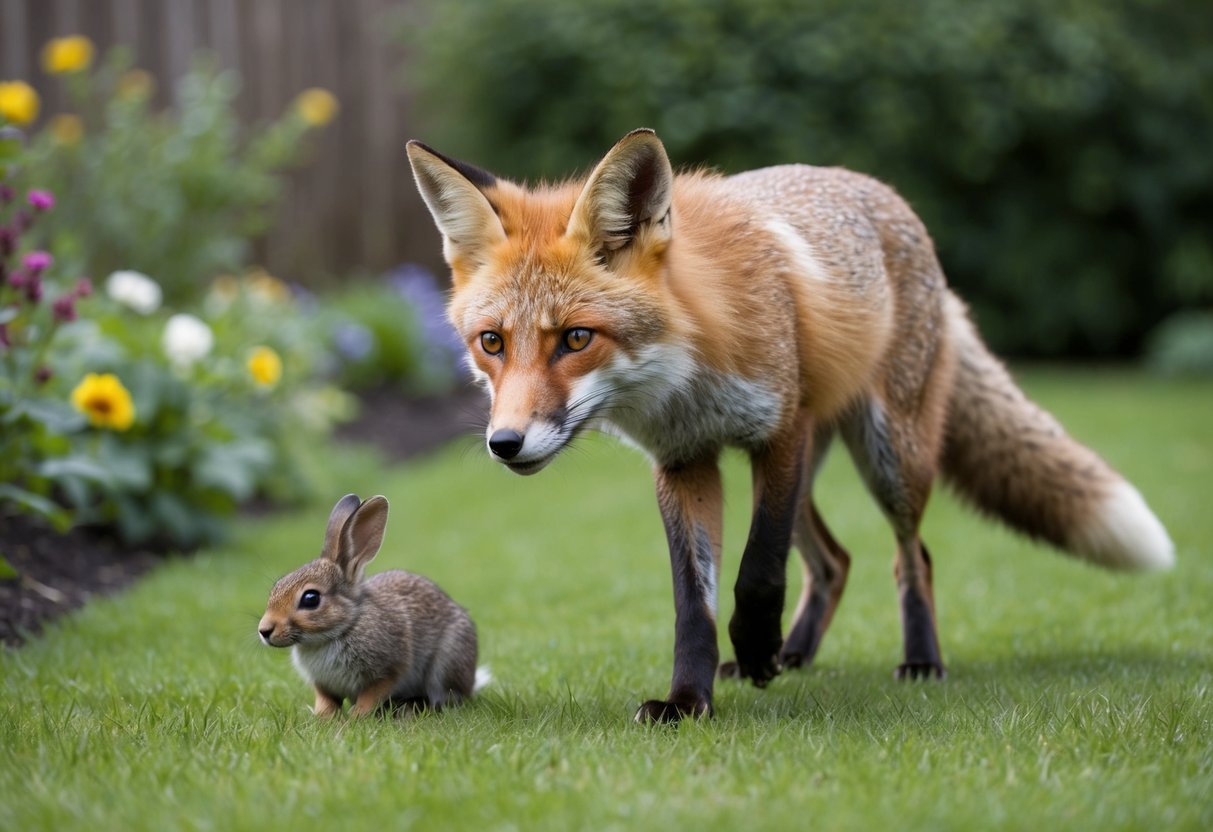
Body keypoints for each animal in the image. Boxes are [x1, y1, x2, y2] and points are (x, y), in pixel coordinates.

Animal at [257, 493, 481, 718]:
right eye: (276, 586)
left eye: (311, 598)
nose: (264, 630)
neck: (340, 630)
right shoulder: (322, 684)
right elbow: (326, 700)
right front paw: (324, 717)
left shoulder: (389, 670)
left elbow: (371, 695)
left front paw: (356, 716)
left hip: (447, 661)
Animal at [406, 128, 1174, 723]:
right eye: (491, 343)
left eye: (574, 338)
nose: (505, 444)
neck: (686, 376)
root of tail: (885, 194)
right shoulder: (686, 462)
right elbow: (693, 602)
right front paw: (689, 699)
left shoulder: (779, 431)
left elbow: (757, 574)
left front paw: (749, 648)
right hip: (809, 471)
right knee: (835, 561)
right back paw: (793, 652)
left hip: (887, 456)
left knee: (911, 557)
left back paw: (916, 659)